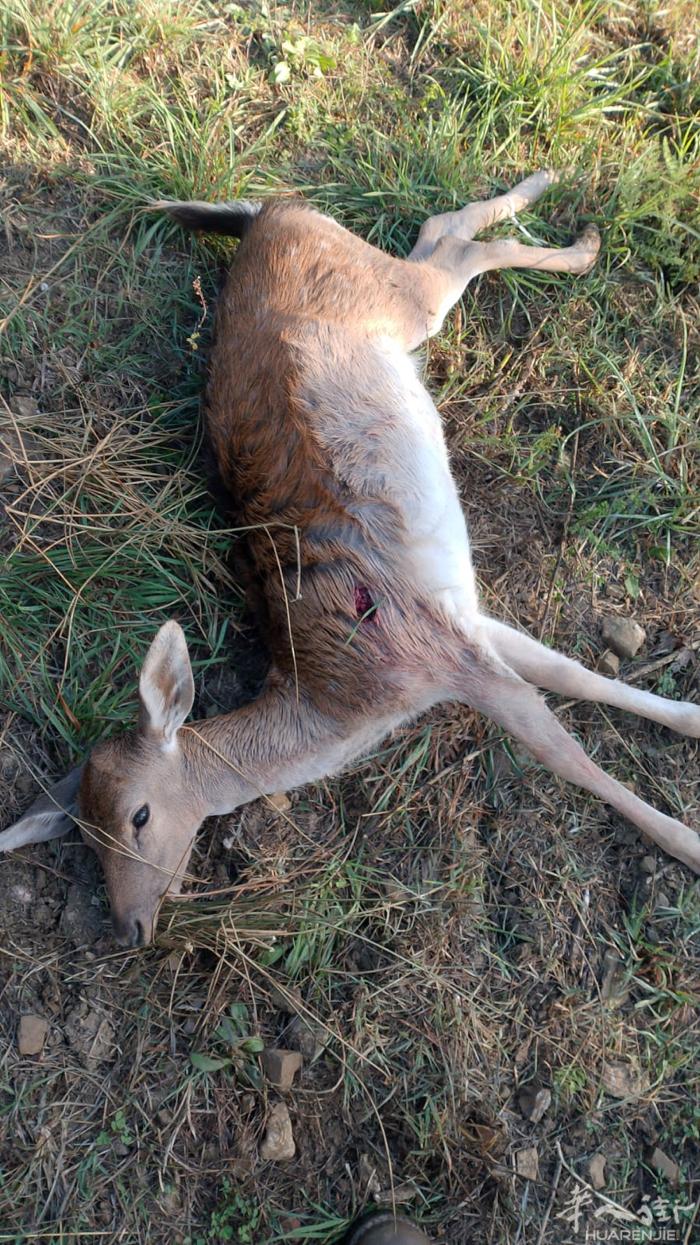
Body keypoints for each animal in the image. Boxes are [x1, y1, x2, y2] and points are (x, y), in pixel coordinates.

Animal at [2, 171, 699, 947]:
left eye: (139, 816)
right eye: (86, 838)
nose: (127, 928)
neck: (347, 706)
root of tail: (264, 217)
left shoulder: (437, 654)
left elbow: (566, 751)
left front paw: (689, 845)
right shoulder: (462, 623)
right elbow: (573, 676)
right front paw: (693, 720)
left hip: (395, 295)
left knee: (451, 242)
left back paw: (578, 235)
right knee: (441, 231)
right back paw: (566, 220)